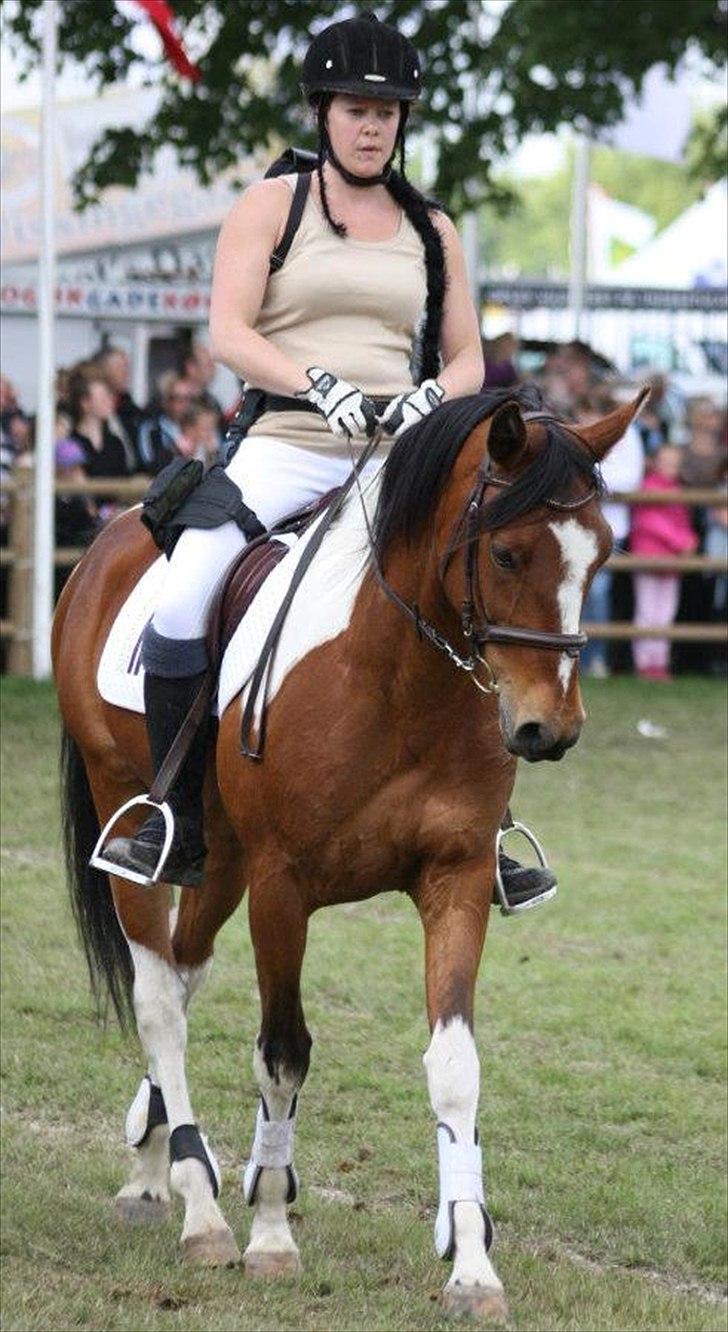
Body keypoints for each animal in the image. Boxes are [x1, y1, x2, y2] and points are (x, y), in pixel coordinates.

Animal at [51, 386, 646, 1321]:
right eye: (507, 552)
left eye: (604, 555)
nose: (548, 731)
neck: (399, 676)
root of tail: (104, 545)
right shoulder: (283, 887)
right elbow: (282, 1052)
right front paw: (269, 1233)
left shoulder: (456, 879)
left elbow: (455, 1068)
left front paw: (473, 1266)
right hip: (134, 809)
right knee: (157, 997)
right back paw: (199, 1211)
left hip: (218, 857)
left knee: (182, 972)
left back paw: (156, 1168)